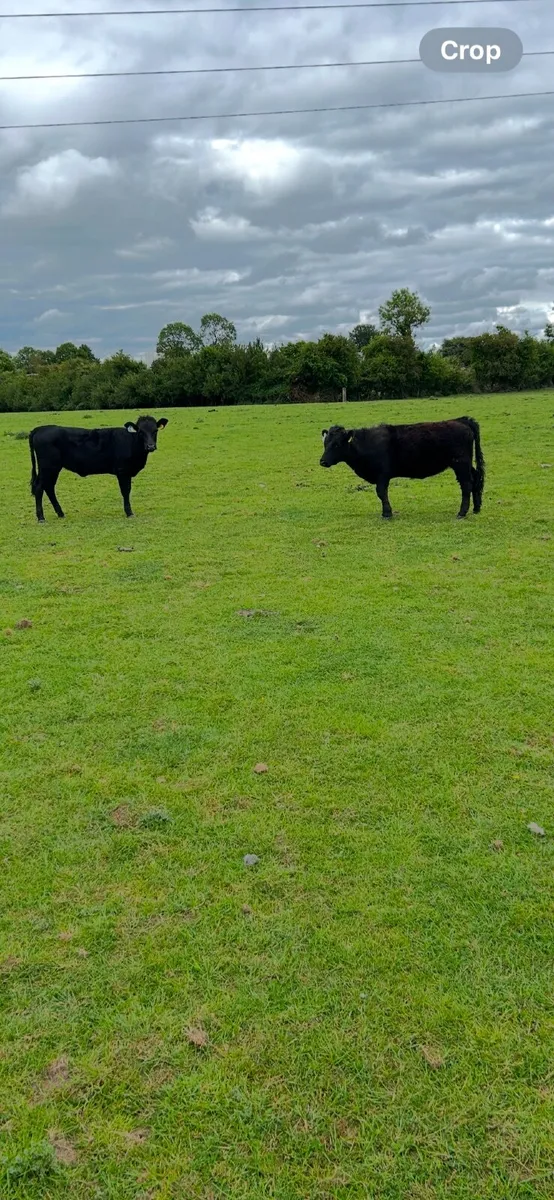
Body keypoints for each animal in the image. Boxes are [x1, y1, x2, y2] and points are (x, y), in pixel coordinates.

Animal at [29, 415, 168, 521]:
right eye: (140, 432)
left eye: (155, 430)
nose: (151, 446)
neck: (131, 441)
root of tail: (40, 429)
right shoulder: (123, 471)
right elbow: (126, 491)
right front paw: (129, 513)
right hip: (48, 467)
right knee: (40, 488)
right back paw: (41, 517)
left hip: (53, 468)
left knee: (49, 487)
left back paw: (60, 513)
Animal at [320, 416, 484, 519]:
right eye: (325, 443)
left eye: (336, 444)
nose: (322, 462)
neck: (367, 443)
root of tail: (461, 420)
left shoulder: (382, 475)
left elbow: (381, 493)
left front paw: (387, 513)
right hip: (466, 464)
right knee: (476, 479)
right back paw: (476, 508)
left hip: (460, 464)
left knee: (466, 485)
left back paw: (462, 513)